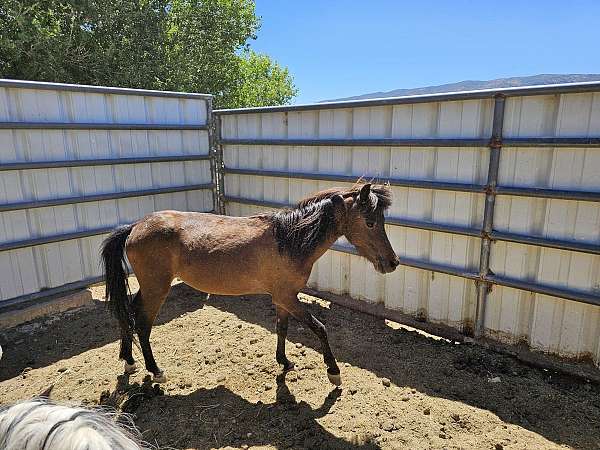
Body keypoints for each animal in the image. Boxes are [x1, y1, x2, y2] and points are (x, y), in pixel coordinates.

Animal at [101, 183, 398, 386]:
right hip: (157, 288)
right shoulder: (288, 297)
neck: (288, 240)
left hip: (149, 286)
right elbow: (319, 328)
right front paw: (333, 372)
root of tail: (135, 226)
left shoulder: (282, 298)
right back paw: (156, 370)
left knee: (129, 312)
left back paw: (129, 362)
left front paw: (284, 362)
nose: (392, 263)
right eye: (370, 222)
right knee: (142, 323)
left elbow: (282, 328)